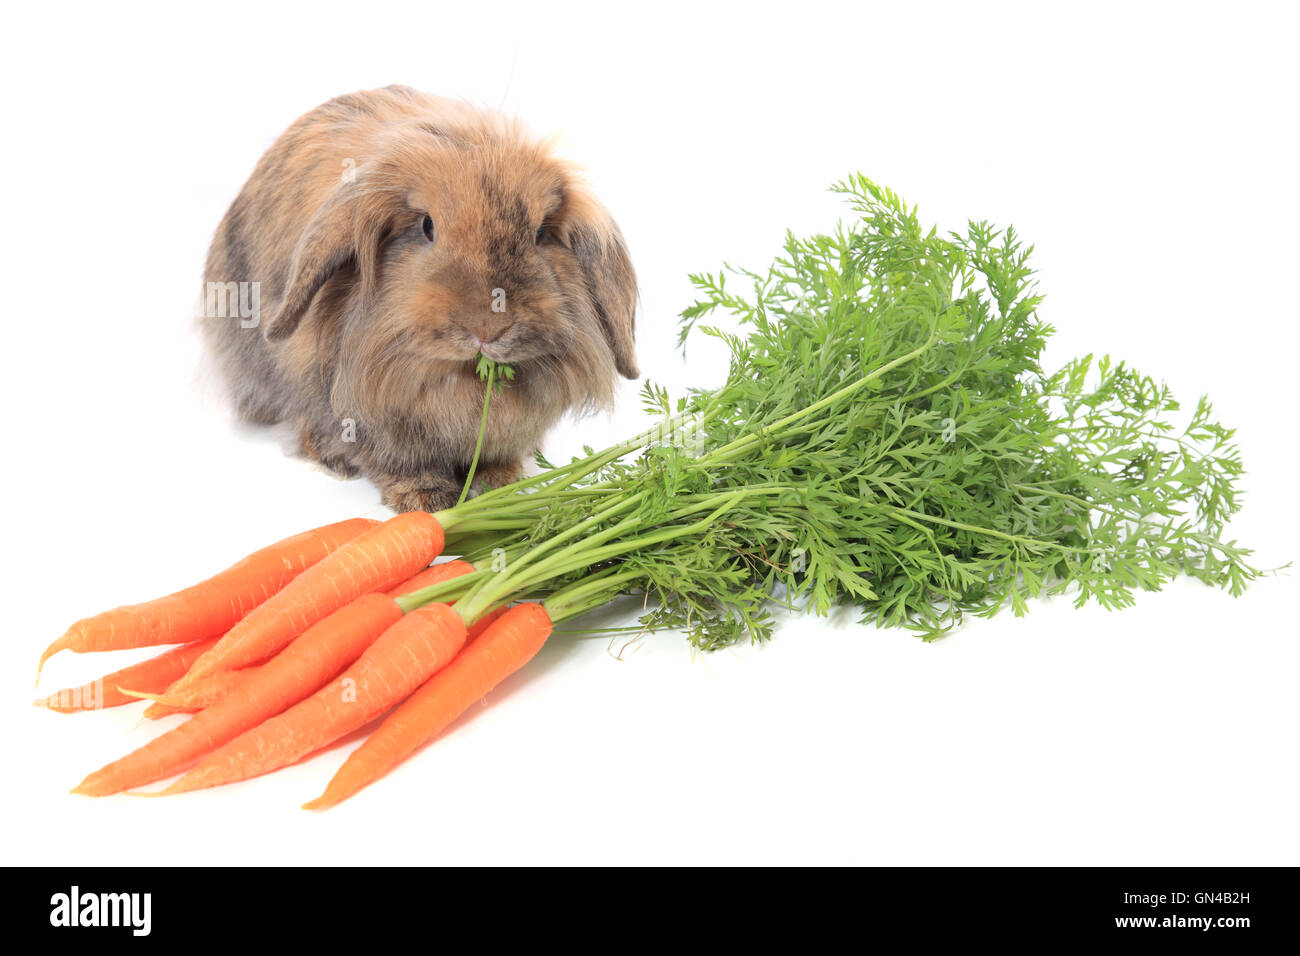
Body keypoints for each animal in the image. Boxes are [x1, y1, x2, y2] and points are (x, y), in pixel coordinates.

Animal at [201, 85, 638, 512]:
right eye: (427, 226)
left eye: (541, 233)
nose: (487, 327)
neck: (459, 382)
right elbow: (394, 460)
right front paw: (425, 500)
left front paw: (501, 485)